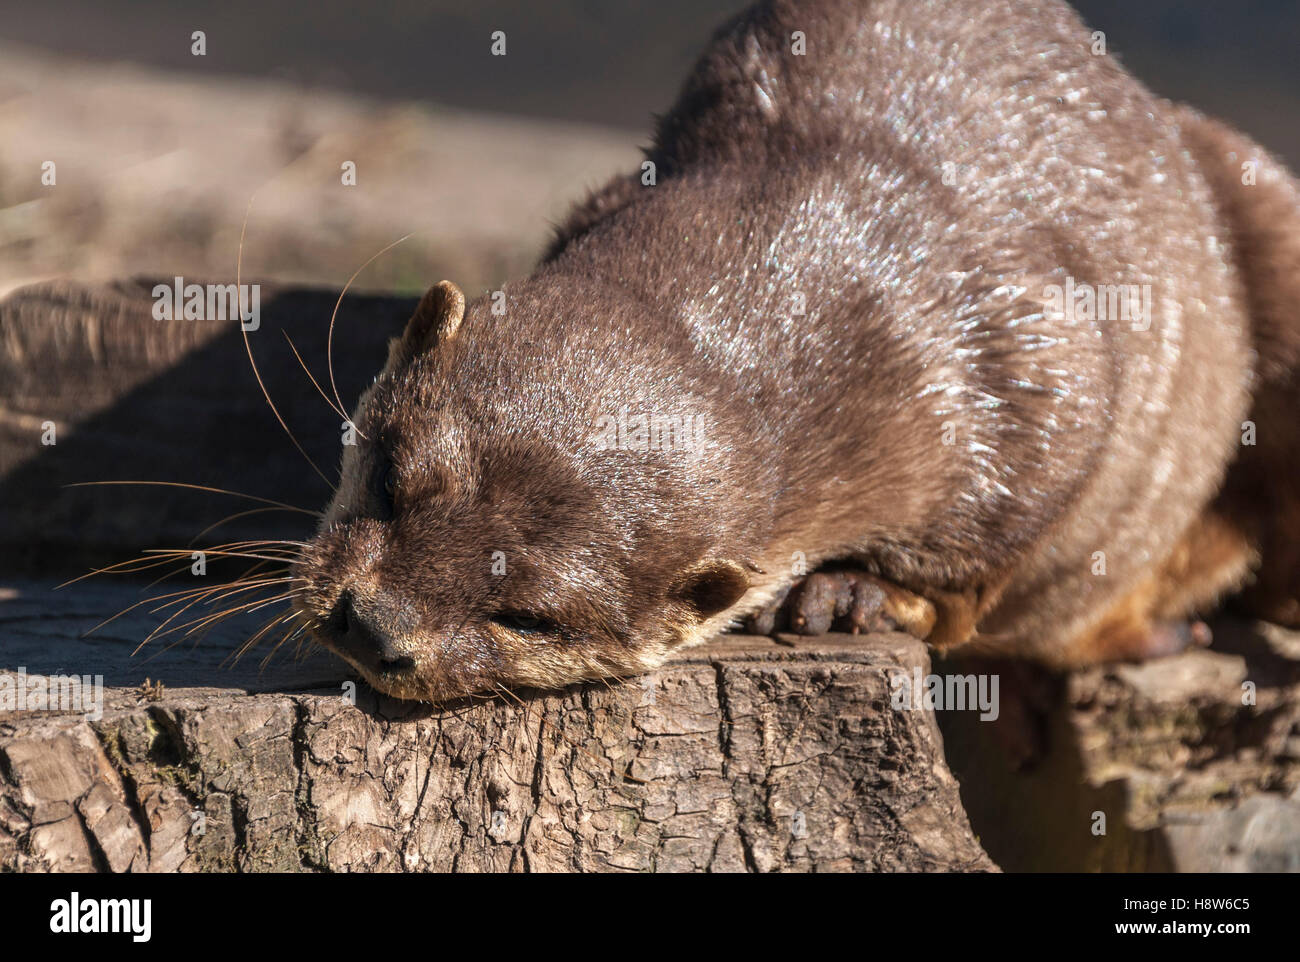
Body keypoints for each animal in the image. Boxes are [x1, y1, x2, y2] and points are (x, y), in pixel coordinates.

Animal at [289, 0, 1300, 702]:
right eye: (389, 481)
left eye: (528, 617)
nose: (372, 628)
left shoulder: (1036, 370)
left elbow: (995, 541)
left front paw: (855, 595)